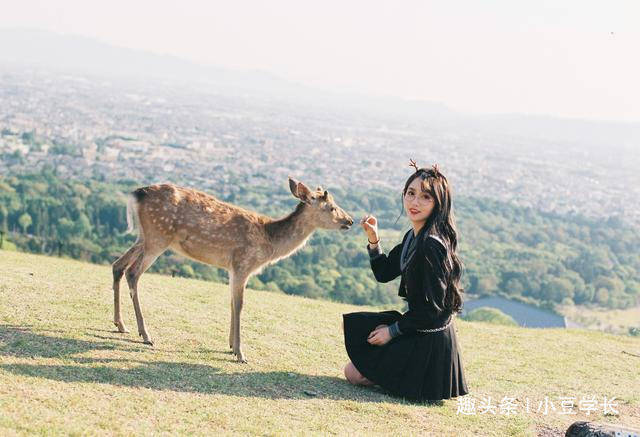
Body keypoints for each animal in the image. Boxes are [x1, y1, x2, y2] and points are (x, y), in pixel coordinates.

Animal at [110, 176, 350, 362]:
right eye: (331, 207)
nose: (350, 220)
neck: (269, 243)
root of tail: (137, 194)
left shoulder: (231, 269)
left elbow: (232, 303)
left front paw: (231, 346)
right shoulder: (243, 264)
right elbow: (240, 305)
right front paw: (241, 353)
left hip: (144, 236)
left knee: (118, 265)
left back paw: (121, 324)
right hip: (158, 237)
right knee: (133, 272)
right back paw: (145, 334)